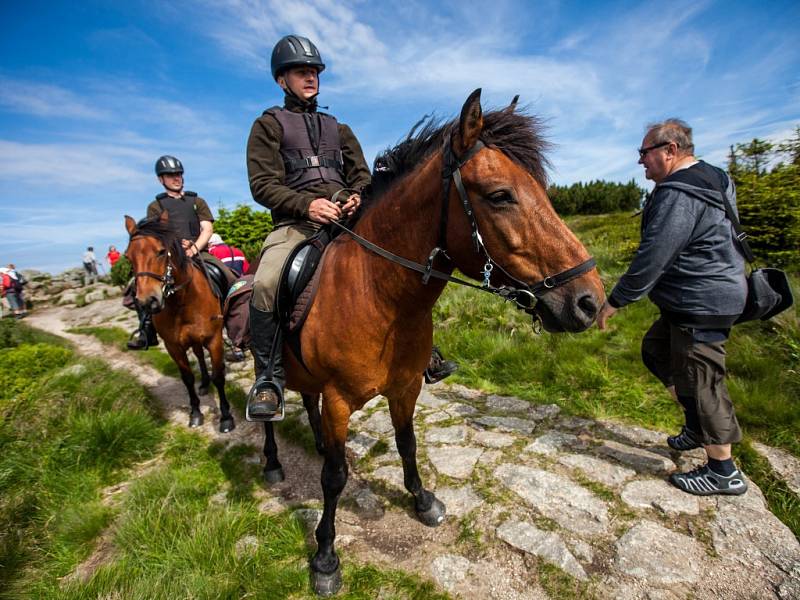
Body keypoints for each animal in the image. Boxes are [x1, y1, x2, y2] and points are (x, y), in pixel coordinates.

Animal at [122, 213, 234, 434]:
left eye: (161, 251)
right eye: (128, 257)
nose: (147, 301)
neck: (182, 301)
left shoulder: (214, 339)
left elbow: (219, 376)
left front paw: (226, 417)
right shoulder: (173, 346)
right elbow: (187, 378)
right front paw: (195, 413)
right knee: (199, 356)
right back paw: (204, 384)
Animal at [262, 90, 608, 596]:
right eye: (500, 195)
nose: (590, 302)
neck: (378, 295)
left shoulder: (406, 387)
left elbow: (407, 444)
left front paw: (423, 500)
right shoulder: (339, 400)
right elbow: (334, 478)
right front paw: (325, 557)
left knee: (307, 404)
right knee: (267, 413)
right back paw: (271, 460)